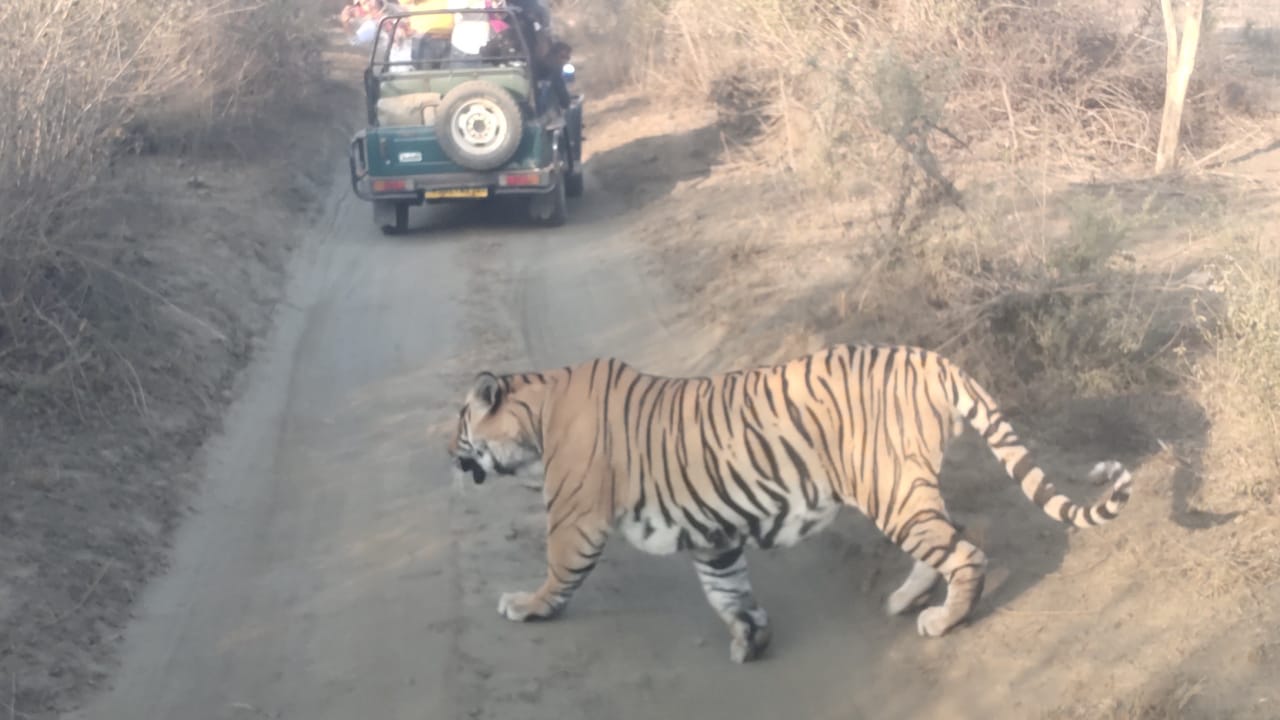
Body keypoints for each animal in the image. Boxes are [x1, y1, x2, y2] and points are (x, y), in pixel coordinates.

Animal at [448, 343, 1131, 661]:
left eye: (460, 422)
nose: (446, 454)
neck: (538, 414)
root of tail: (931, 359)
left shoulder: (575, 519)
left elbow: (557, 574)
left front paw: (523, 606)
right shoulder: (714, 536)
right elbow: (729, 591)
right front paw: (752, 639)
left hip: (891, 490)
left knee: (966, 551)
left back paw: (942, 620)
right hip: (904, 491)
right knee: (950, 538)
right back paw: (904, 600)